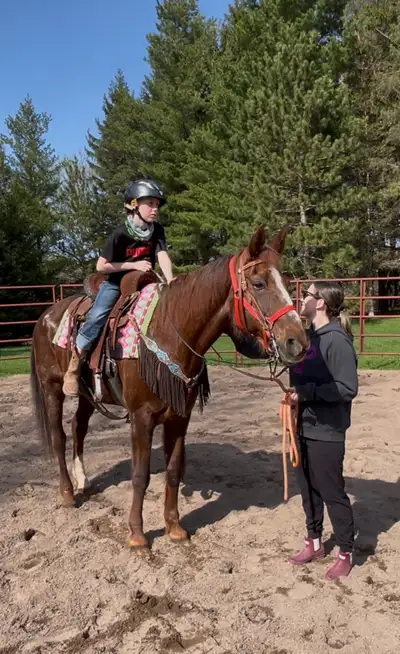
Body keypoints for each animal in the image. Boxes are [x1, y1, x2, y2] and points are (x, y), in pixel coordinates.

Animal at [30, 226, 308, 550]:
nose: (297, 343)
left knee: (78, 428)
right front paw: (137, 535)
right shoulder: (141, 418)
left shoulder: (179, 417)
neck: (168, 332)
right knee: (59, 436)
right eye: (259, 283)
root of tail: (44, 317)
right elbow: (140, 476)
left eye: (287, 283)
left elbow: (174, 471)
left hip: (89, 395)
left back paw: (82, 480)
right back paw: (67, 493)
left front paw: (174, 528)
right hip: (51, 388)